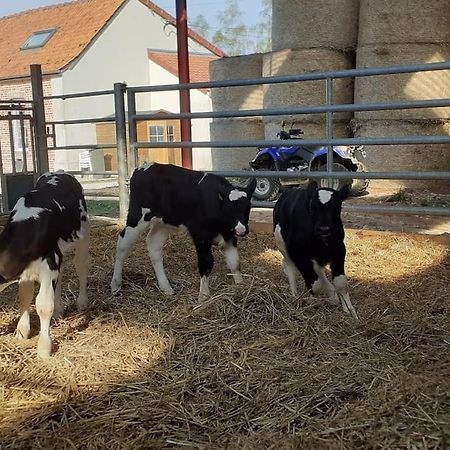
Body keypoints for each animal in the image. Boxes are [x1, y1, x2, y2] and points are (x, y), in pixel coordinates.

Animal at [0, 171, 90, 356]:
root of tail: (60, 172)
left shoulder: (49, 263)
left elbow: (43, 304)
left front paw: (44, 347)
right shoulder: (27, 271)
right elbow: (24, 297)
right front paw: (22, 331)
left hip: (83, 237)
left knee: (81, 266)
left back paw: (82, 302)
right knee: (61, 274)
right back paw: (59, 310)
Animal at [110, 163, 255, 298]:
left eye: (248, 207)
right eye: (229, 208)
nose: (241, 230)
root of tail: (142, 168)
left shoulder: (229, 236)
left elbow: (235, 263)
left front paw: (240, 286)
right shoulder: (200, 235)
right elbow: (206, 263)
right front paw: (203, 296)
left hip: (163, 224)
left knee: (153, 245)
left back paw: (166, 288)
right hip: (137, 217)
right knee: (122, 244)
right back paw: (115, 284)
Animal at [272, 181, 356, 318]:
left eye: (337, 207)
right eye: (312, 207)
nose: (324, 229)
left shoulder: (339, 251)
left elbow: (340, 283)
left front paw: (349, 309)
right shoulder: (299, 254)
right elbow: (316, 285)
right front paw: (318, 300)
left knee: (319, 271)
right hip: (282, 243)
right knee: (289, 266)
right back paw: (295, 295)